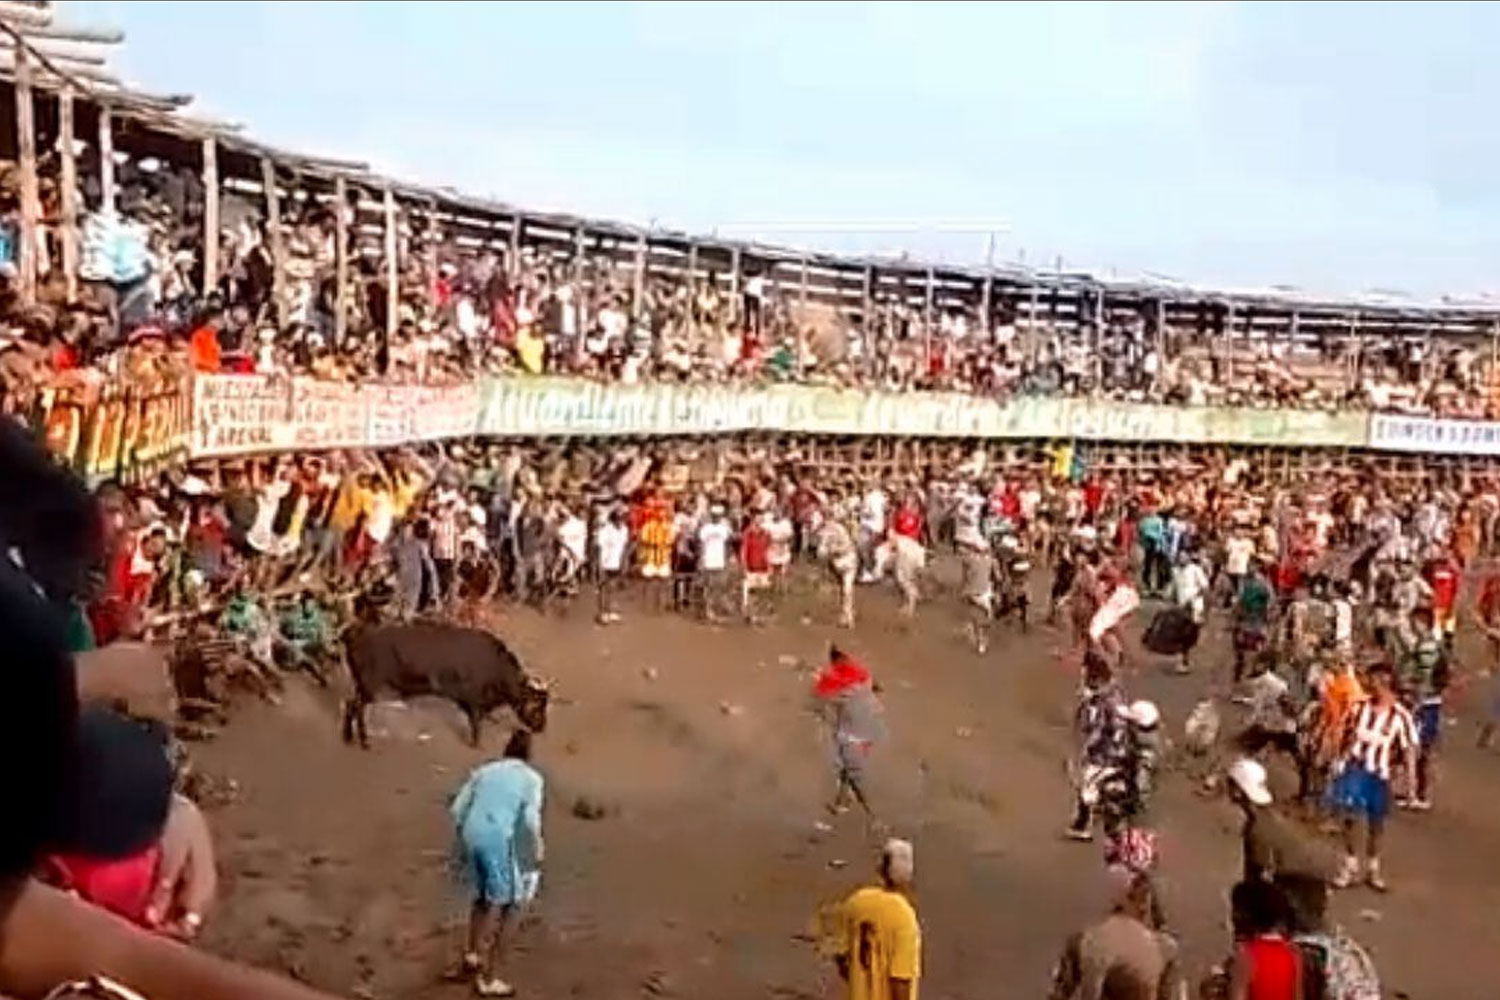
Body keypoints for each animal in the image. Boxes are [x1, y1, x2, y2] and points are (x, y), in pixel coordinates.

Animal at [343, 620, 549, 746]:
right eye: (537, 705)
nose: (541, 727)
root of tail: (356, 633)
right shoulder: (474, 700)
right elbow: (476, 722)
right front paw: (476, 743)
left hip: (361, 685)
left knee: (350, 704)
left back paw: (348, 736)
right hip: (370, 685)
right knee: (357, 707)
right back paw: (364, 740)